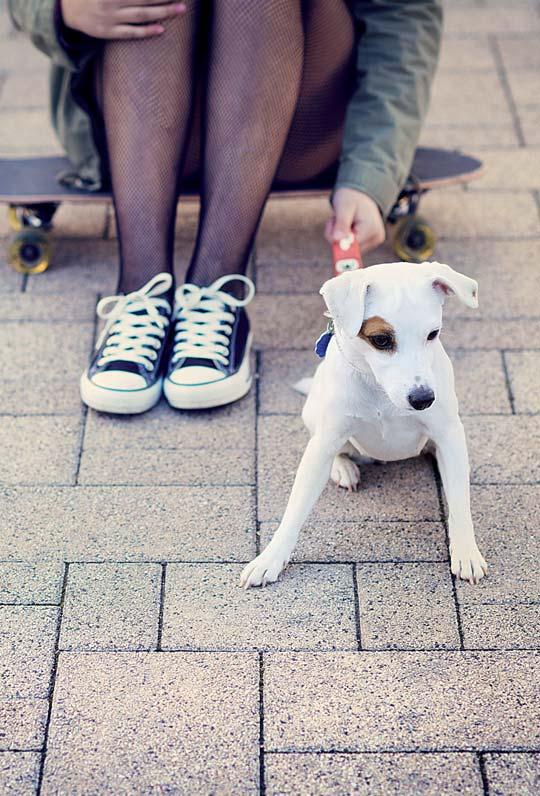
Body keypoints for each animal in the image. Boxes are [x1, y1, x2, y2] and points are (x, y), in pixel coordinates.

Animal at [239, 260, 486, 584]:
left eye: (433, 334)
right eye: (381, 339)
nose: (423, 399)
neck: (379, 390)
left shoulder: (449, 434)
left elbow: (459, 500)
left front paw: (467, 550)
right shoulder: (324, 442)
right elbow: (295, 507)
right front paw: (270, 557)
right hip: (314, 414)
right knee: (339, 450)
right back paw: (343, 467)